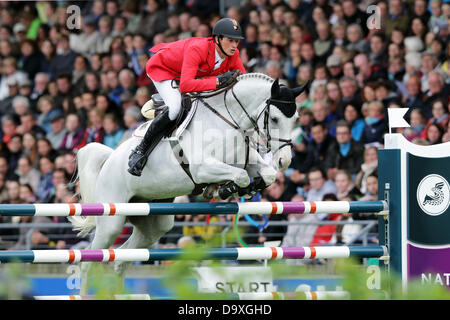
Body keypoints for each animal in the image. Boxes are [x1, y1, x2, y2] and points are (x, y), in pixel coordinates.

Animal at [71, 73, 310, 292]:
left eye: (296, 118)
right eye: (276, 119)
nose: (285, 161)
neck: (228, 119)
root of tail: (109, 159)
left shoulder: (246, 161)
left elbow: (266, 174)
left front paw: (246, 189)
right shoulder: (202, 169)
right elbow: (240, 175)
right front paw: (223, 190)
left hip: (152, 223)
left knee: (122, 259)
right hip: (112, 221)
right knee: (89, 262)